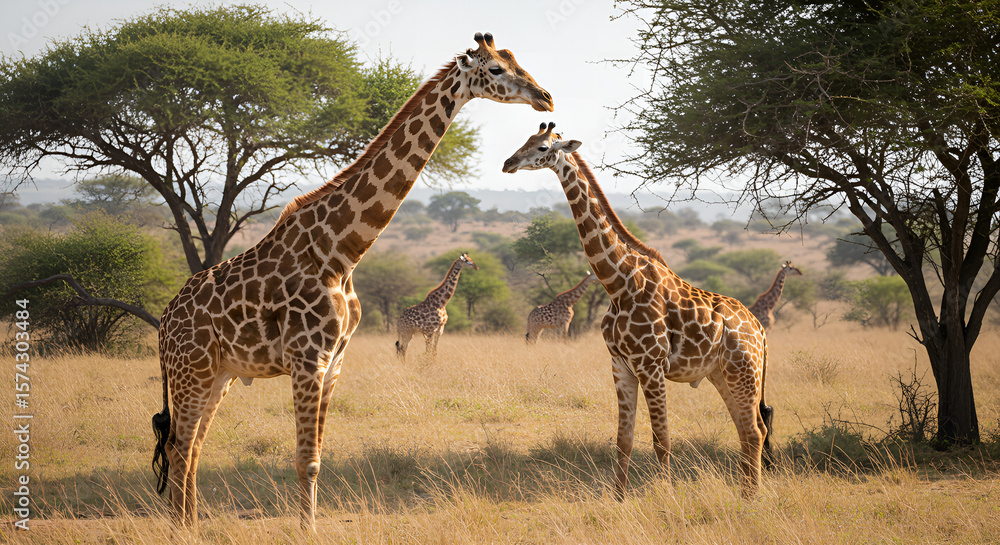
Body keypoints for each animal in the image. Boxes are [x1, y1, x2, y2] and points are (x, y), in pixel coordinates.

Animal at [150, 33, 553, 530]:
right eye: (495, 69)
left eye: (515, 59)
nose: (544, 97)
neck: (340, 253)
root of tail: (163, 325)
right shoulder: (308, 359)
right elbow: (305, 460)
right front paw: (306, 531)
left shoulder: (335, 362)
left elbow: (317, 457)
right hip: (192, 370)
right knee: (178, 446)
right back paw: (181, 527)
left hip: (218, 374)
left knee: (191, 447)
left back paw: (190, 523)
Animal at [502, 123, 772, 499]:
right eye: (524, 141)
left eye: (542, 147)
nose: (508, 163)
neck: (618, 282)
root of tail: (759, 330)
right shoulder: (620, 365)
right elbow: (623, 440)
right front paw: (619, 498)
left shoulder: (651, 366)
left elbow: (662, 440)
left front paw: (667, 496)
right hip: (721, 374)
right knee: (747, 428)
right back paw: (746, 495)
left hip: (744, 371)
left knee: (755, 430)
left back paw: (752, 497)